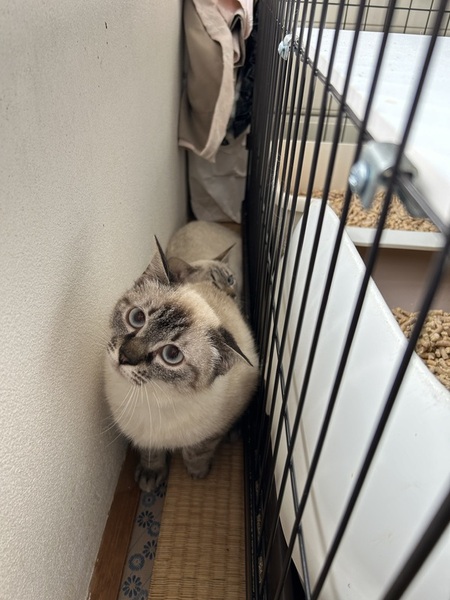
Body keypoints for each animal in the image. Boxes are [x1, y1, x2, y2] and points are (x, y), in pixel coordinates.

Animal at [104, 237, 258, 492]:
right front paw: (151, 474)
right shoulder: (143, 434)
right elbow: (151, 452)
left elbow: (197, 450)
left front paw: (197, 472)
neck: (154, 396)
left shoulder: (212, 430)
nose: (124, 357)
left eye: (172, 354)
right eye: (137, 318)